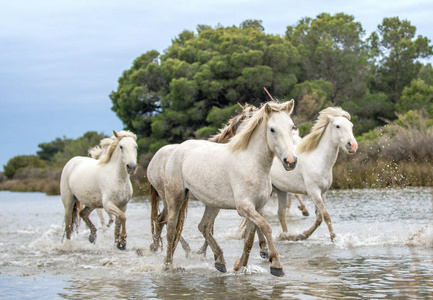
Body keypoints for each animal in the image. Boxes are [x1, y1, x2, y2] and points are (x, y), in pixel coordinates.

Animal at [270, 108, 358, 241]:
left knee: (280, 214)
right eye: (337, 126)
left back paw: (285, 235)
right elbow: (326, 215)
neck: (319, 160)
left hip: (281, 191)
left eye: (351, 126)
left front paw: (302, 235)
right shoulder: (314, 193)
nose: (352, 145)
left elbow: (319, 218)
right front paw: (333, 238)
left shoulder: (323, 193)